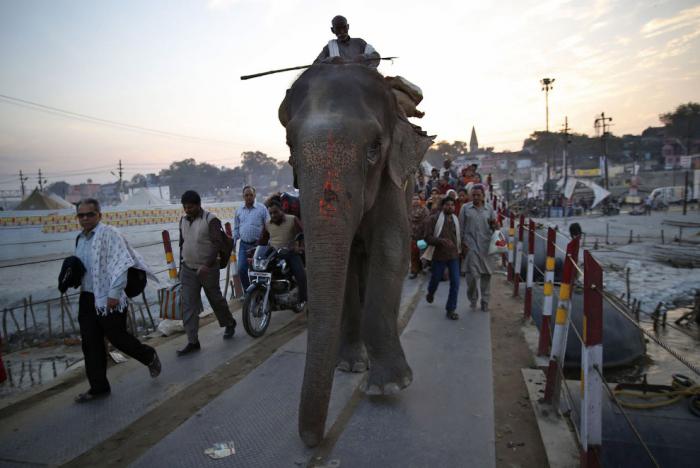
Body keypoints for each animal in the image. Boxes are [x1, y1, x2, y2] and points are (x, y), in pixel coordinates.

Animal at [278, 62, 432, 446]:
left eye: (375, 147)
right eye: (289, 146)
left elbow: (391, 247)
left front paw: (389, 386)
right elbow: (343, 259)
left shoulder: (393, 180)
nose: (313, 439)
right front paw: (349, 366)